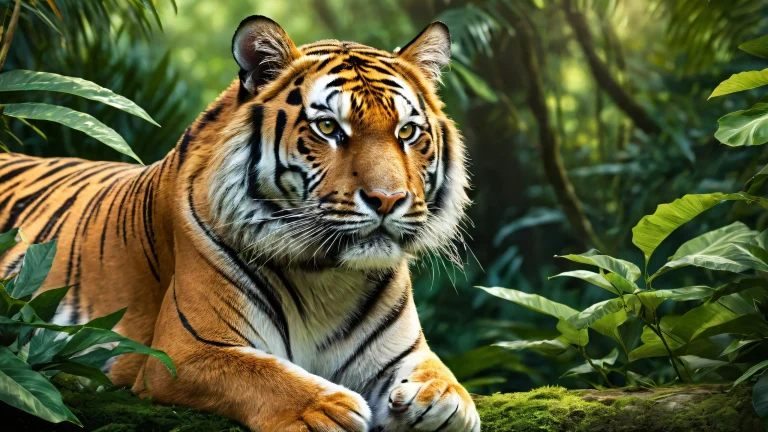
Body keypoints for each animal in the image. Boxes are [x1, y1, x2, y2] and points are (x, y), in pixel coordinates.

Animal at [0, 16, 478, 431]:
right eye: (328, 127)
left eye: (407, 132)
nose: (388, 199)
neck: (327, 278)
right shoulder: (184, 352)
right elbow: (264, 375)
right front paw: (328, 408)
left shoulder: (403, 353)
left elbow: (450, 390)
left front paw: (439, 401)